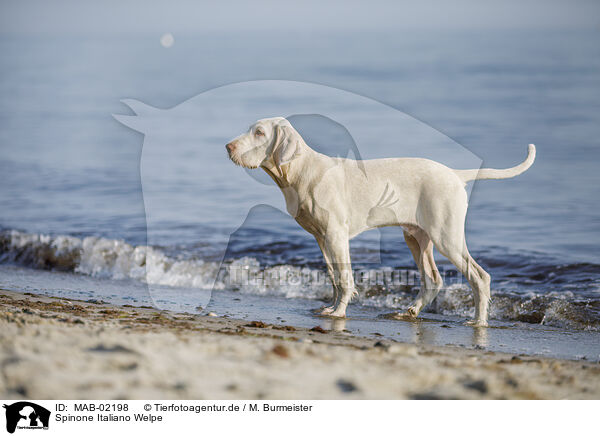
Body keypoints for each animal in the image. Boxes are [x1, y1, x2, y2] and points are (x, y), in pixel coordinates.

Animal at [226, 117, 536, 326]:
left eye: (259, 132)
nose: (228, 146)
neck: (301, 171)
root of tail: (455, 174)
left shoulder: (336, 235)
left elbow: (344, 278)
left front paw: (339, 313)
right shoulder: (321, 238)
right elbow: (334, 277)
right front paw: (330, 309)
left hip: (446, 236)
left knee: (480, 277)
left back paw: (478, 322)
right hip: (416, 237)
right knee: (433, 279)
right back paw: (412, 311)